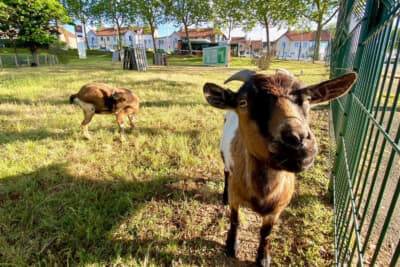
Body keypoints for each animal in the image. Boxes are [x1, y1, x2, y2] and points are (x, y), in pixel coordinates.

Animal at [203, 70, 356, 266]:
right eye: (243, 102)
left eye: (308, 99)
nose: (297, 139)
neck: (263, 193)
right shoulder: (236, 196)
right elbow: (235, 220)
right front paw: (231, 247)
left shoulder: (278, 208)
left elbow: (266, 232)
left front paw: (263, 258)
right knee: (225, 173)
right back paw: (223, 197)